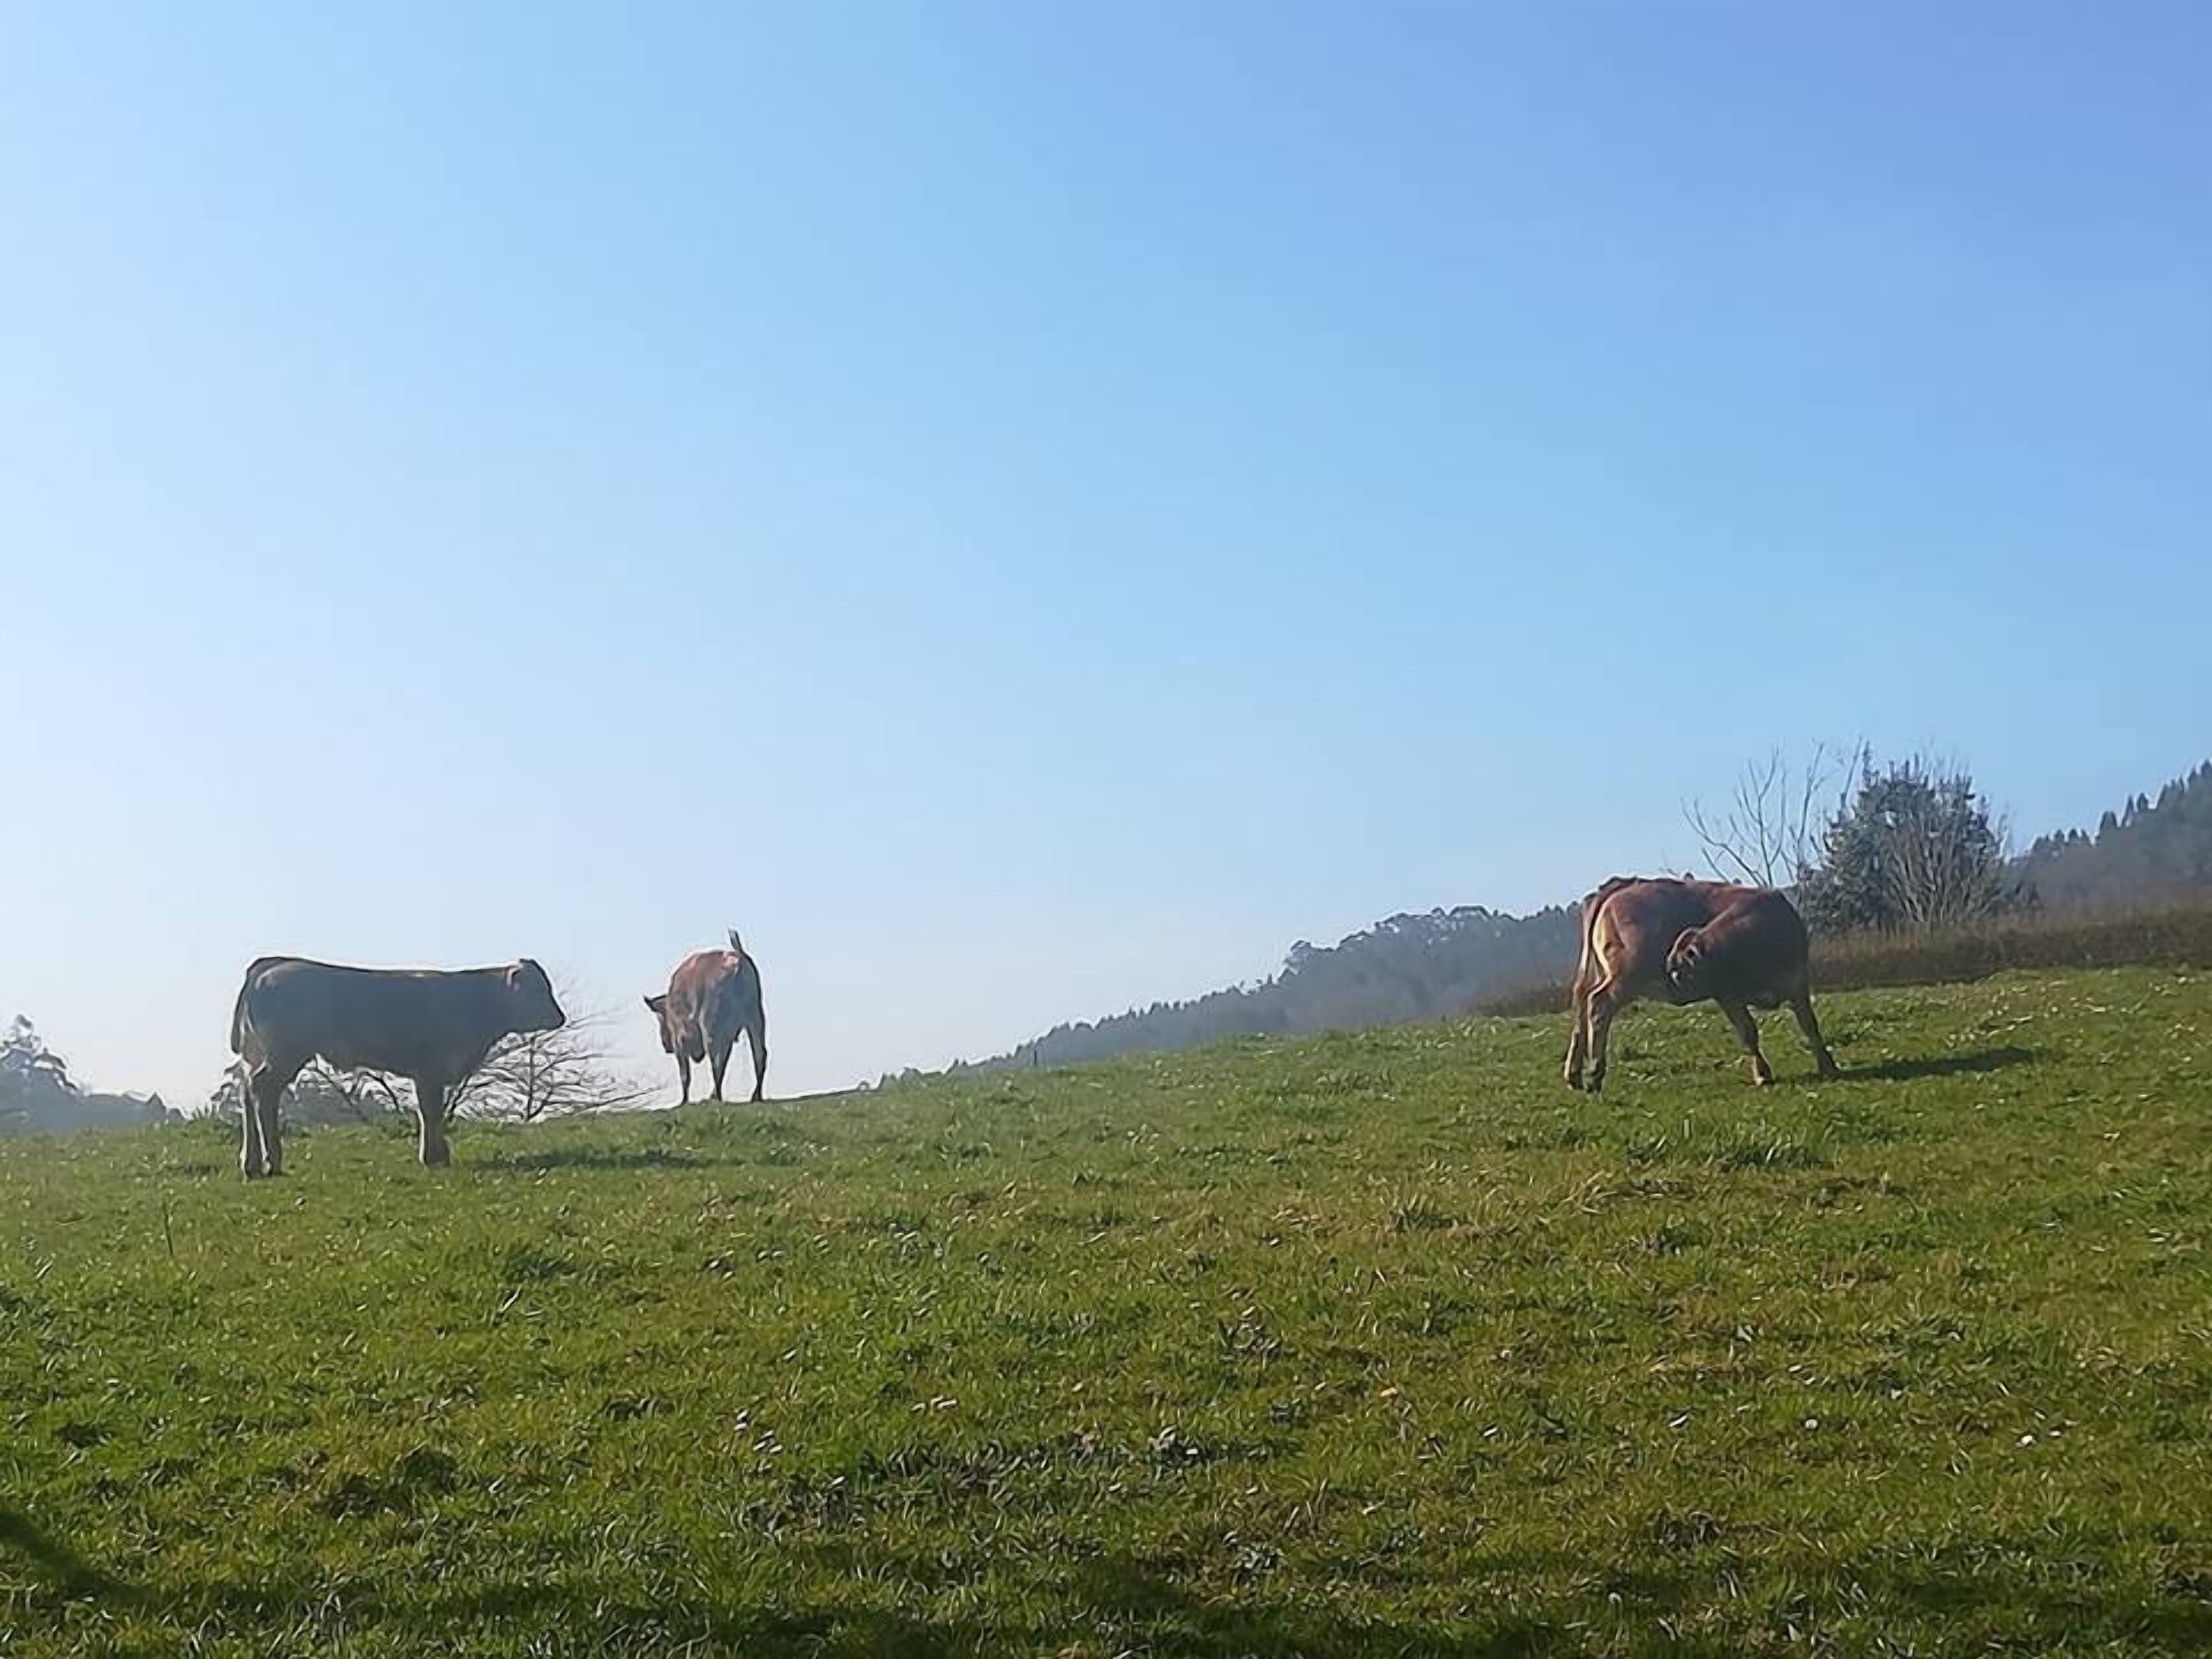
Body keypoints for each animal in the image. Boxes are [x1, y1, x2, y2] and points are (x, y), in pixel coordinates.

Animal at [228, 956, 566, 1177]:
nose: (559, 1017)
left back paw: (251, 1163)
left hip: (258, 1055)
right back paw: (272, 1161)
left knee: (246, 1091)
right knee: (263, 1092)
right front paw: (435, 1156)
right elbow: (431, 1112)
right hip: (285, 1054)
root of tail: (271, 965)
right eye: (539, 990)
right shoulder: (430, 1069)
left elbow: (430, 1111)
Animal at [645, 930, 767, 1104]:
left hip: (710, 1026)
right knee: (759, 1054)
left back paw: (716, 1097)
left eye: (660, 1018)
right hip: (755, 1017)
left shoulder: (680, 1040)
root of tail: (738, 958)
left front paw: (684, 1101)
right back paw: (755, 1096)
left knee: (716, 1059)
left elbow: (685, 1073)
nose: (665, 1044)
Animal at [1561, 877, 1840, 1093]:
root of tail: (1620, 887)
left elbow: (1809, 1025)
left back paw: (1575, 1075)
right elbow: (1748, 1031)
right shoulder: (1727, 994)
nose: (1673, 974)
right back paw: (1595, 1073)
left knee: (1582, 1008)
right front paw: (1763, 1074)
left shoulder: (1797, 983)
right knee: (1599, 1005)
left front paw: (1828, 1066)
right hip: (1625, 979)